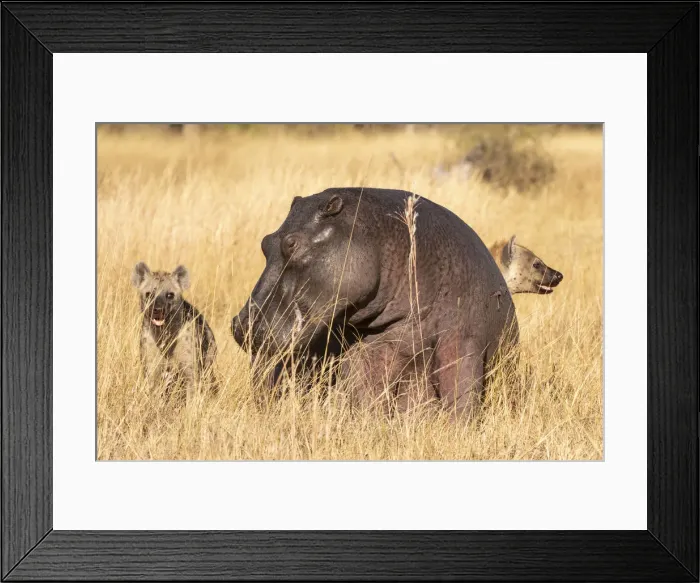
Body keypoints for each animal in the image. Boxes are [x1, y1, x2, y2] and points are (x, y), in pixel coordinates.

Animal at [232, 187, 519, 419]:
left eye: (292, 244)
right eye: (265, 242)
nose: (242, 324)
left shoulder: (463, 339)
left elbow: (461, 395)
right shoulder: (365, 352)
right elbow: (366, 397)